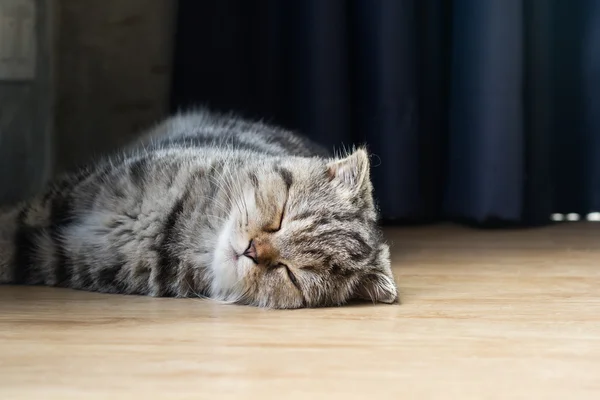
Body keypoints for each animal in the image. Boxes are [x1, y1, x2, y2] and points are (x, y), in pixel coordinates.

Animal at [2, 108, 400, 308]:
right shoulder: (75, 191)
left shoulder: (58, 258)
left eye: (291, 274)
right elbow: (13, 219)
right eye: (282, 214)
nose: (252, 250)